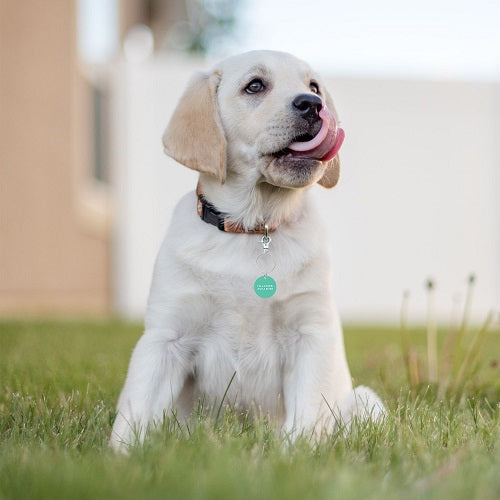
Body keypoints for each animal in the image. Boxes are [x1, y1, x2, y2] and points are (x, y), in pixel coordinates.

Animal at [109, 51, 382, 454]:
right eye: (255, 86)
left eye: (314, 87)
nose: (313, 104)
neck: (254, 227)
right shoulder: (166, 337)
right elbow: (135, 408)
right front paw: (119, 457)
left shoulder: (311, 333)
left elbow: (307, 415)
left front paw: (294, 456)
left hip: (366, 400)